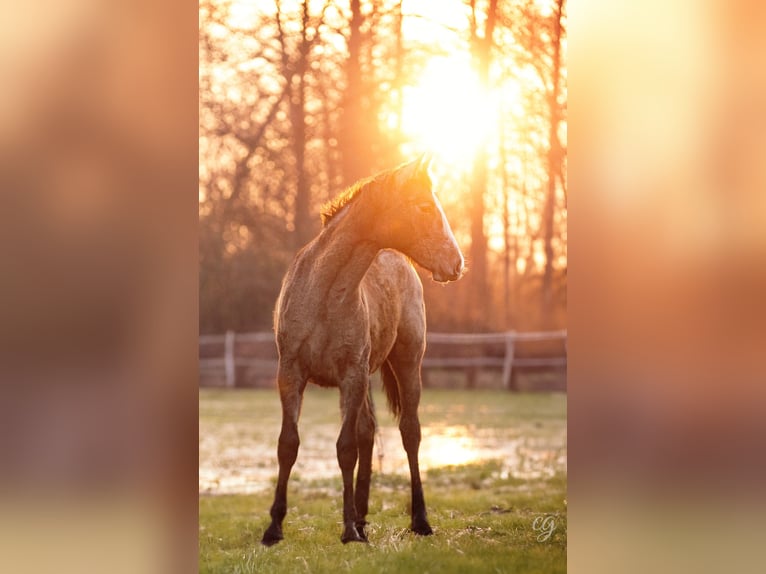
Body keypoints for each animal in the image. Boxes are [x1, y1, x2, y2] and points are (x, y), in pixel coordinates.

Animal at [260, 155, 464, 548]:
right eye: (423, 205)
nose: (457, 263)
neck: (324, 294)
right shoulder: (290, 374)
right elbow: (288, 444)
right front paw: (274, 528)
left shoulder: (351, 376)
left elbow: (346, 448)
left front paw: (348, 530)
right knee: (369, 431)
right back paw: (362, 516)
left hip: (406, 363)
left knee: (409, 433)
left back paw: (418, 520)